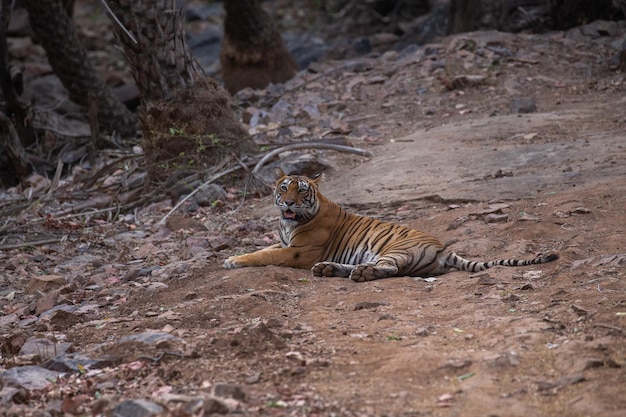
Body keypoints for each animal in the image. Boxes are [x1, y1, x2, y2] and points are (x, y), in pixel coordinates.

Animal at [223, 167, 556, 282]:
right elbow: (264, 248)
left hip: (396, 250)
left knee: (390, 269)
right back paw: (329, 269)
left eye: (302, 190)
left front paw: (232, 260)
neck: (288, 223)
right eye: (284, 188)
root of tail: (443, 248)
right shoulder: (284, 242)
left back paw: (358, 274)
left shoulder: (297, 251)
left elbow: (262, 255)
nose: (289, 203)